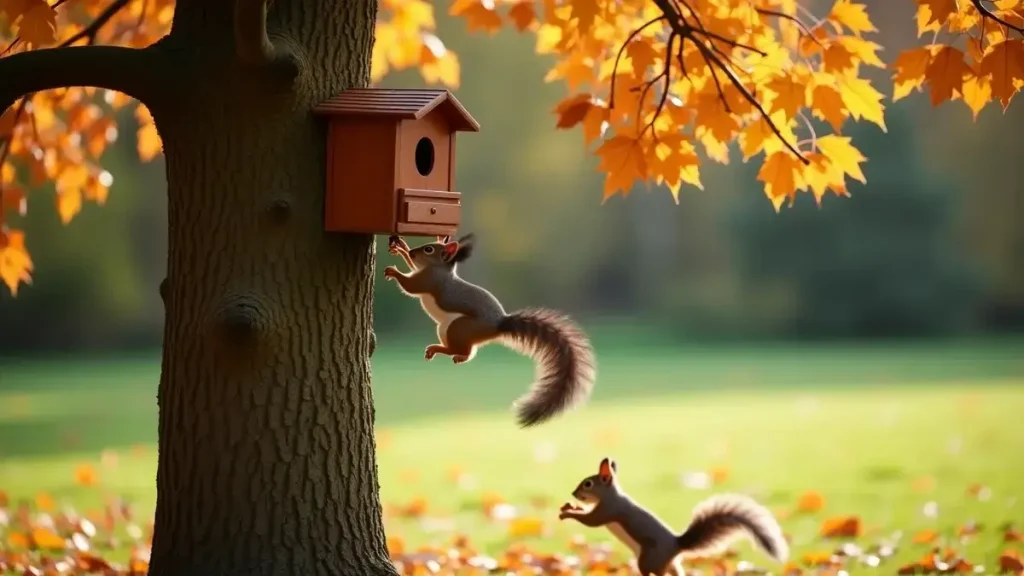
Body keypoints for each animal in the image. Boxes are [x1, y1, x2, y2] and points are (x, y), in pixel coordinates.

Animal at [385, 233, 598, 426]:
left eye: (428, 249)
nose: (413, 252)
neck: (439, 268)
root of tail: (498, 326)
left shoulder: (429, 280)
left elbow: (410, 286)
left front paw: (394, 271)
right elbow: (412, 269)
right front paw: (402, 248)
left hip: (457, 327)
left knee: (462, 349)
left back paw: (441, 350)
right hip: (447, 328)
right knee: (469, 352)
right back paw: (449, 354)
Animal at [561, 457, 790, 573]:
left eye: (588, 484)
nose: (573, 493)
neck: (611, 494)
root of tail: (676, 546)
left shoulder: (610, 509)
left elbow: (591, 521)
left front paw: (568, 513)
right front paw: (570, 506)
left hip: (649, 559)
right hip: (669, 563)